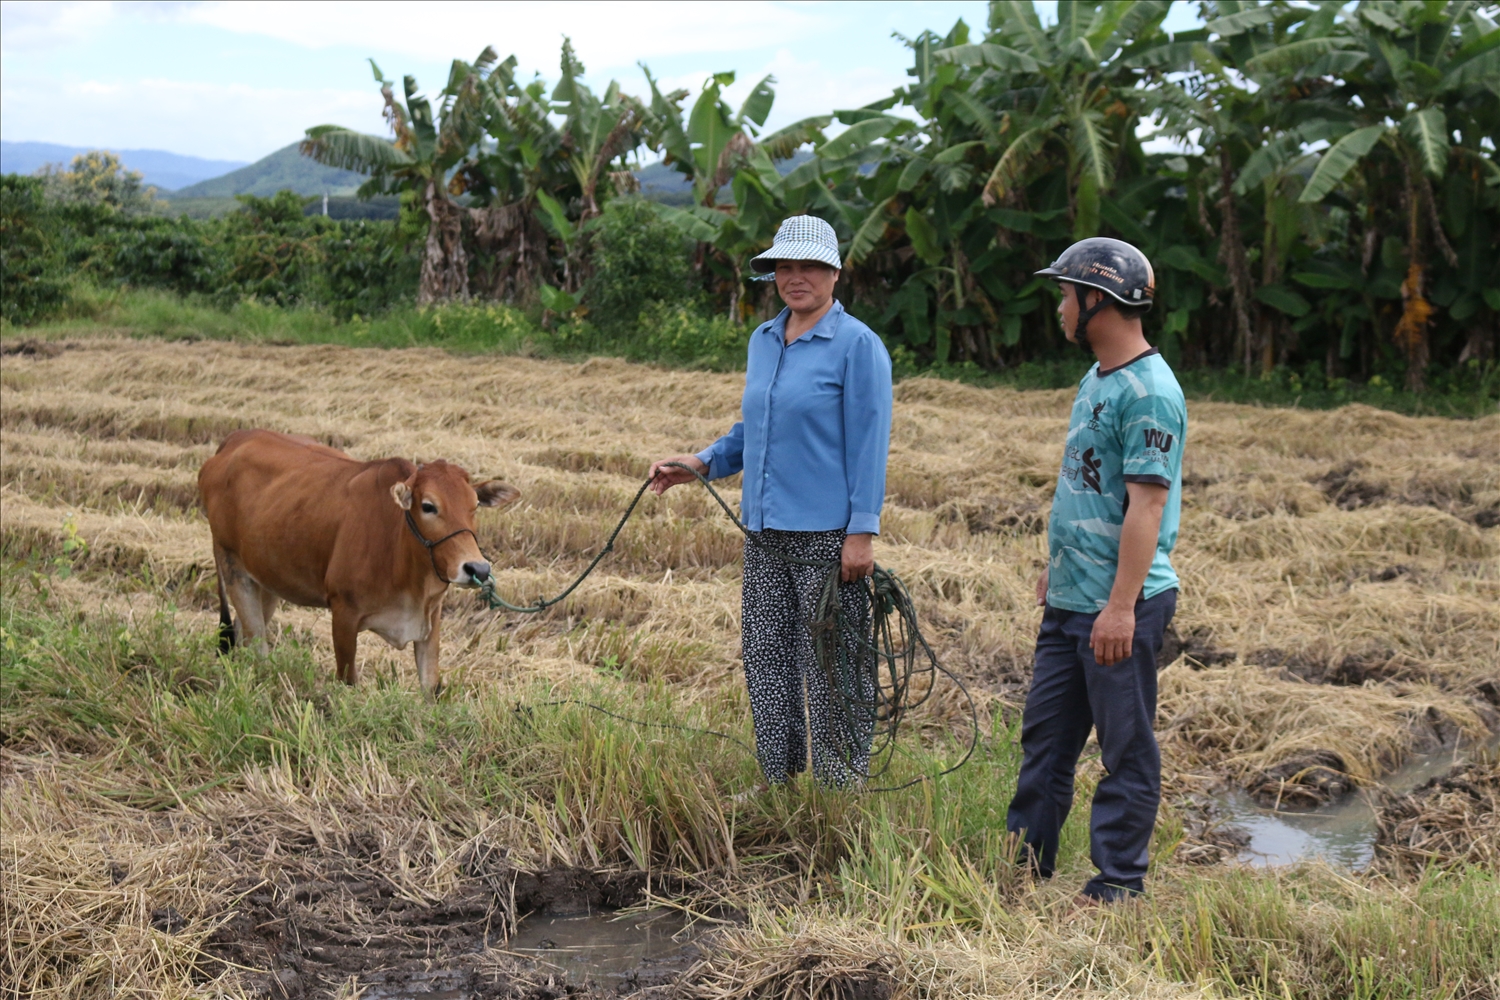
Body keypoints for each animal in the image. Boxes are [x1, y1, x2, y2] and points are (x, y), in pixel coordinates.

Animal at [199, 431, 519, 695]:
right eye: (428, 506)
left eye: (474, 505)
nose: (477, 569)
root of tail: (235, 439)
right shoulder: (344, 614)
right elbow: (348, 681)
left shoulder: (431, 618)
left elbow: (430, 687)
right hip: (233, 567)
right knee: (256, 645)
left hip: (267, 581)